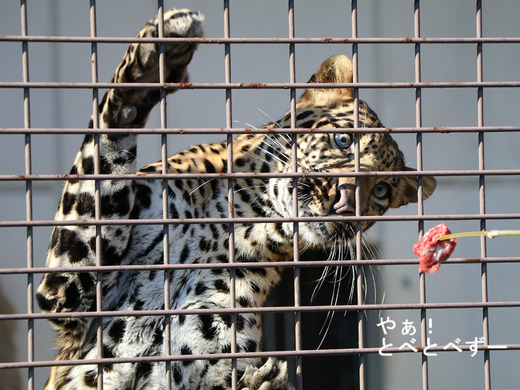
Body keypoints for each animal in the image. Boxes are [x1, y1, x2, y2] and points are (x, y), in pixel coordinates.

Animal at [34, 8, 436, 390]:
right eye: (343, 141)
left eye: (381, 191)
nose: (347, 204)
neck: (239, 227)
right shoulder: (70, 291)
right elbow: (104, 151)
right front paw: (152, 60)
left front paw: (265, 381)